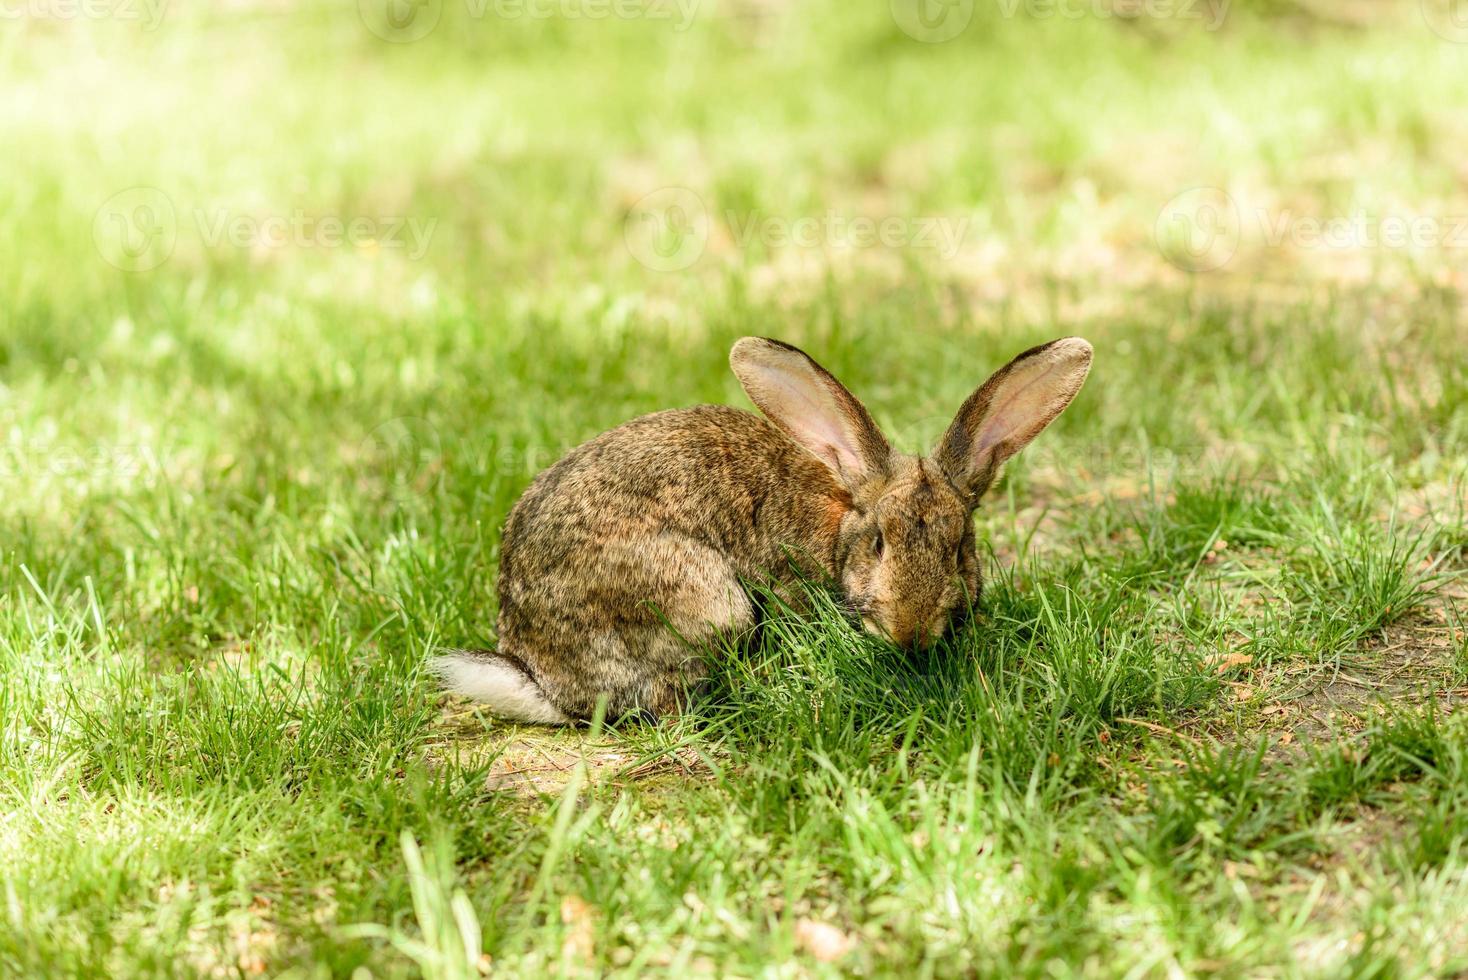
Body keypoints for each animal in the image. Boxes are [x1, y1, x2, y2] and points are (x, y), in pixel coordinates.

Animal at [428, 333, 1086, 724]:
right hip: (707, 601)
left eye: (959, 550)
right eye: (878, 543)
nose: (912, 634)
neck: (838, 528)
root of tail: (540, 676)